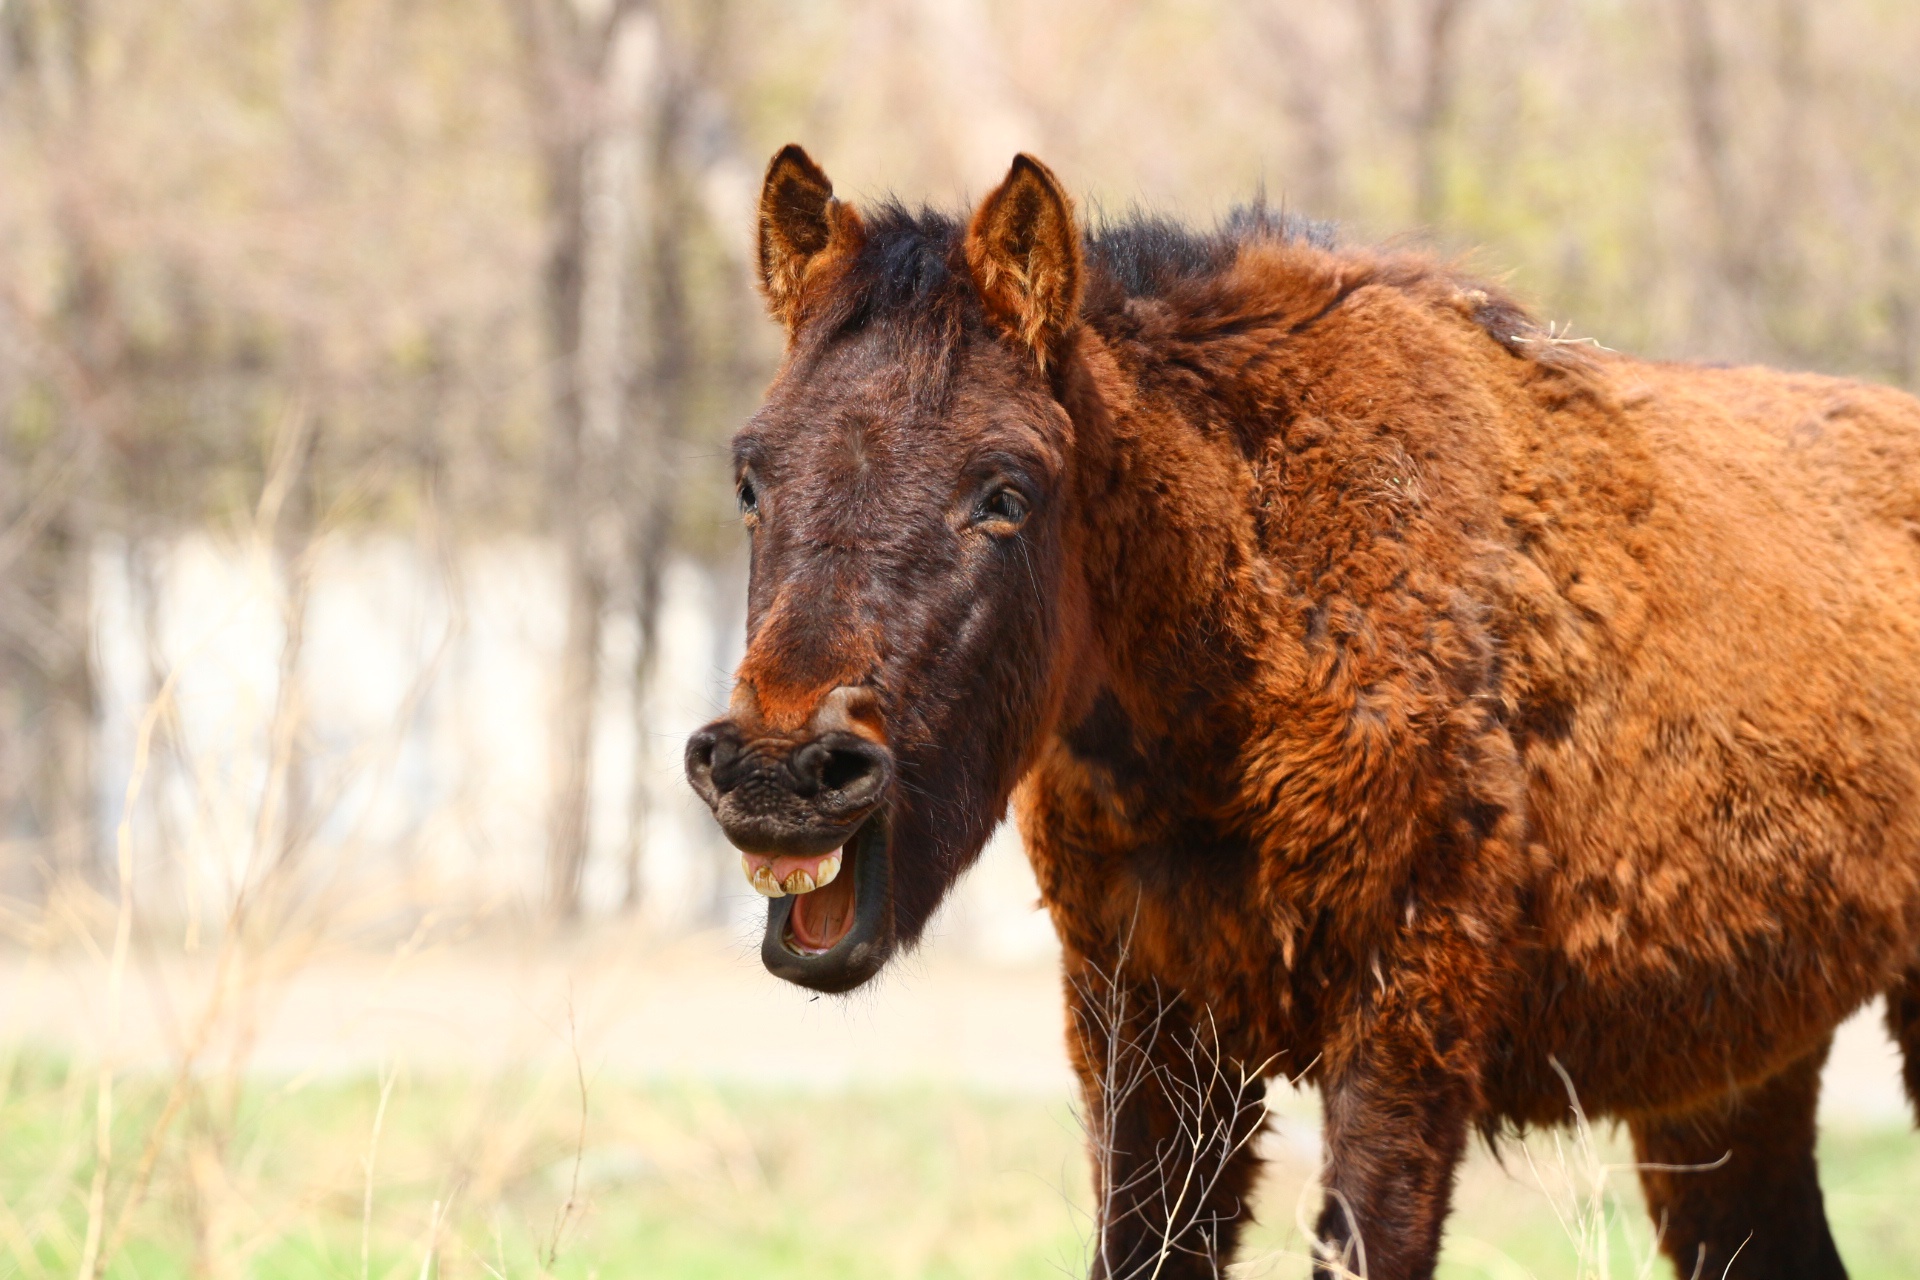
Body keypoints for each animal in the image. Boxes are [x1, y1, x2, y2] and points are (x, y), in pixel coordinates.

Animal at [687, 142, 1920, 1280]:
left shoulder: (1403, 1032)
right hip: (1734, 1077)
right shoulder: (1146, 1034)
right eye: (750, 476)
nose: (781, 774)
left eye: (1005, 490)